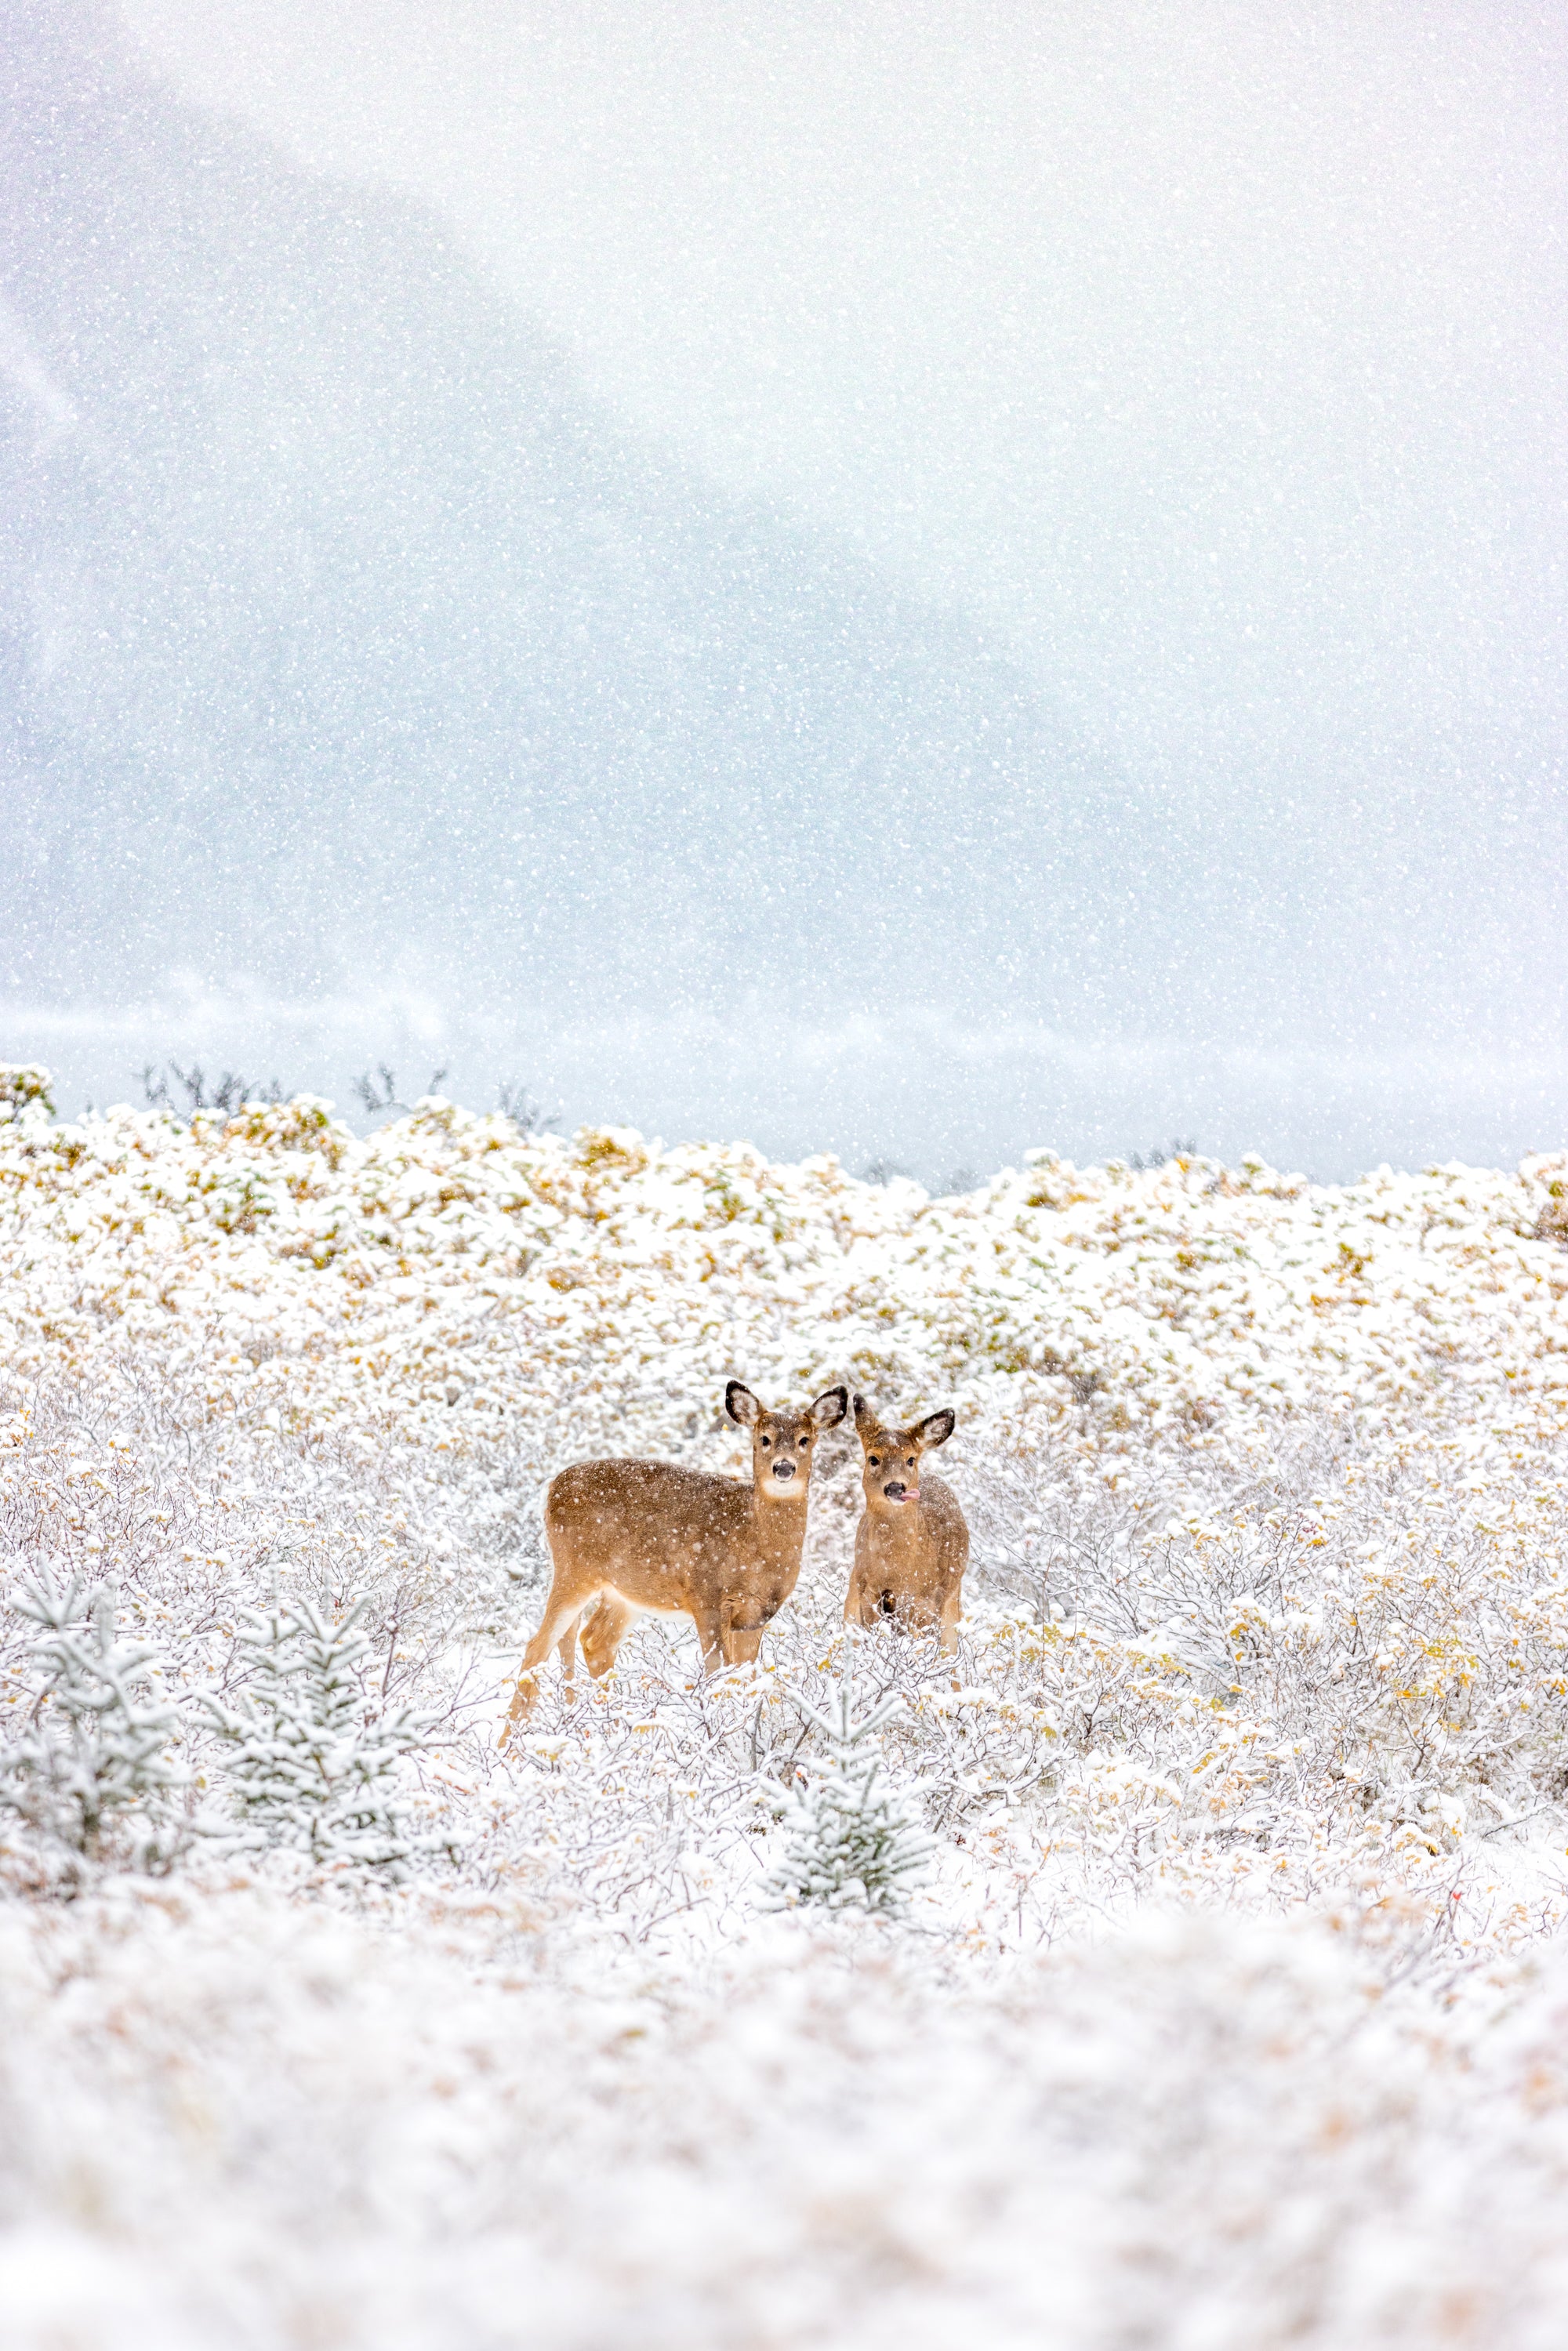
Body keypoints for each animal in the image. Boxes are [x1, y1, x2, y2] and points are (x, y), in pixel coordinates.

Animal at [500, 1373, 846, 1740]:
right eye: (764, 1439)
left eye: (805, 1440)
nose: (783, 1467)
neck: (754, 1545)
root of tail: (552, 1488)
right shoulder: (706, 1595)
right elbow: (718, 1671)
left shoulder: (756, 1614)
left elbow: (747, 1675)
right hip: (574, 1568)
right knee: (538, 1646)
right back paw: (511, 1741)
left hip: (626, 1590)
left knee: (594, 1640)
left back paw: (613, 1726)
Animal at [846, 1391, 968, 1655]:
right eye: (873, 1459)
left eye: (910, 1459)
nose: (895, 1487)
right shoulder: (868, 1592)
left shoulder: (927, 1601)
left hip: (951, 1601)